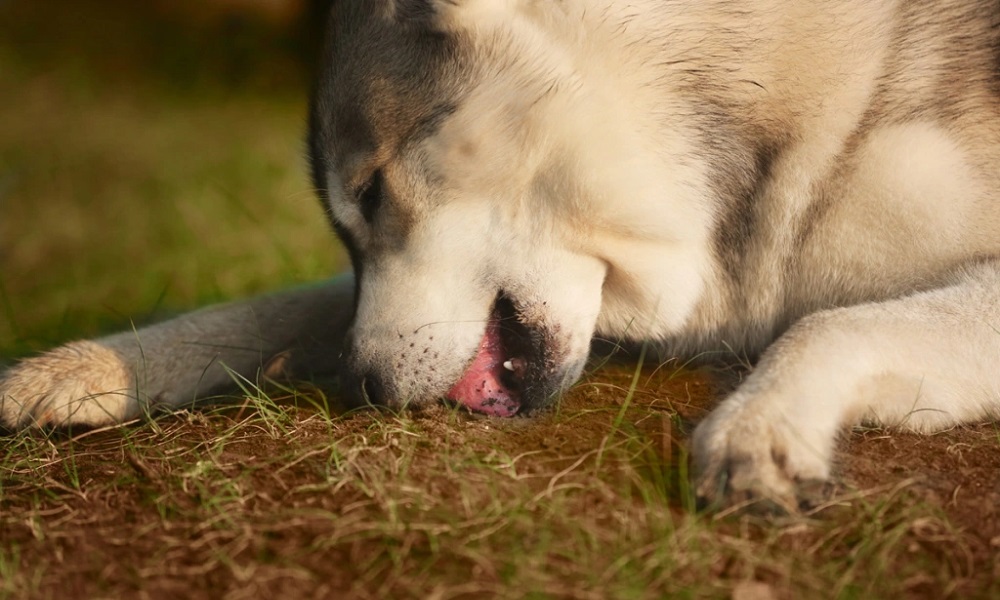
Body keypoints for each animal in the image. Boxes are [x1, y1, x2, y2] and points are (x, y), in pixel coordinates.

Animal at [1, 0, 1000, 508]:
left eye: (370, 192)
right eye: (349, 223)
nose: (360, 387)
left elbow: (828, 325)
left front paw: (762, 429)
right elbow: (278, 303)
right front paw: (83, 367)